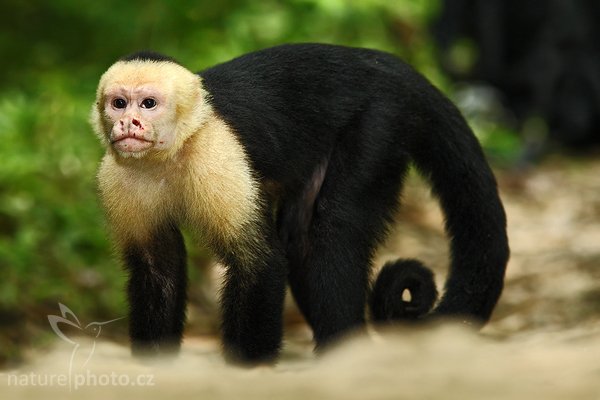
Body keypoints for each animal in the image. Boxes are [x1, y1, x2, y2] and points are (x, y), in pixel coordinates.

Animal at [90, 44, 510, 366]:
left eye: (148, 104)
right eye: (119, 103)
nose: (129, 123)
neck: (172, 153)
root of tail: (384, 63)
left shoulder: (217, 157)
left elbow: (259, 262)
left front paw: (247, 371)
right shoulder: (117, 176)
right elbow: (157, 268)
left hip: (382, 122)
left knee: (332, 235)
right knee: (302, 238)